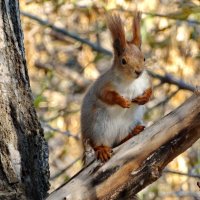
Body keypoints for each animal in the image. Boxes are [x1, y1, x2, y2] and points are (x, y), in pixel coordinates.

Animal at [80, 10, 152, 163]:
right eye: (123, 61)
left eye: (144, 58)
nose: (138, 71)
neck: (131, 81)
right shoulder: (104, 85)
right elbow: (106, 95)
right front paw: (122, 101)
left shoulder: (146, 80)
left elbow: (150, 90)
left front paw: (145, 98)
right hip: (98, 127)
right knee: (97, 144)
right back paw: (102, 150)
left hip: (129, 123)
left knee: (120, 140)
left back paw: (133, 132)